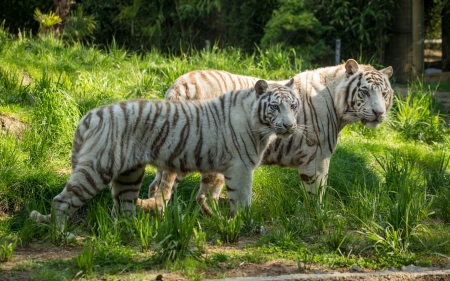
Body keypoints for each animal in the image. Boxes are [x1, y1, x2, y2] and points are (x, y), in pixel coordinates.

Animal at [29, 79, 300, 228]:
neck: (260, 125)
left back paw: (133, 231)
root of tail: (89, 115)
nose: (289, 126)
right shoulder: (240, 168)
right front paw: (245, 224)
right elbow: (243, 200)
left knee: (123, 206)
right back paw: (65, 235)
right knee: (61, 201)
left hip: (129, 174)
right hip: (97, 168)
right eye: (275, 107)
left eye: (293, 106)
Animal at [143, 59, 394, 214]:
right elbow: (317, 192)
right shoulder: (318, 158)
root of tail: (180, 85)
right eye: (364, 92)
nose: (379, 113)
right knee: (193, 191)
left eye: (384, 93)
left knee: (158, 186)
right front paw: (318, 215)